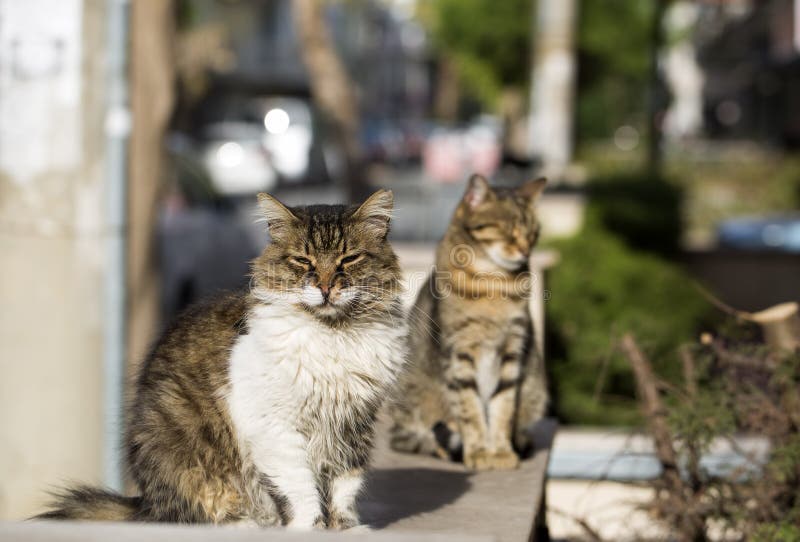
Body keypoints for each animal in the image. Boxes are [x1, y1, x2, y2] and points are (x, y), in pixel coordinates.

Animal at [36, 190, 406, 532]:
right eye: (303, 261)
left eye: (349, 259)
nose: (327, 287)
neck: (335, 332)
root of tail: (146, 504)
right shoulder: (277, 428)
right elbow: (302, 488)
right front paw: (310, 527)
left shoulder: (354, 424)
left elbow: (346, 485)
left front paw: (346, 528)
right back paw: (246, 524)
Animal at [390, 177, 552, 472]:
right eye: (508, 230)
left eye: (533, 234)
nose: (525, 251)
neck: (495, 283)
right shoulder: (458, 353)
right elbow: (470, 410)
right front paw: (478, 451)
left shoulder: (512, 351)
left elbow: (502, 408)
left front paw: (501, 451)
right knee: (418, 437)